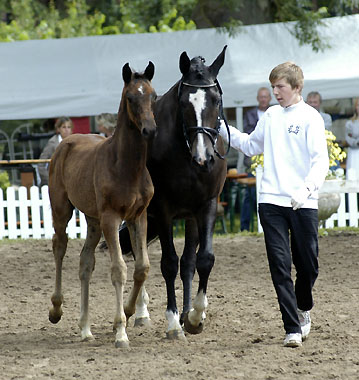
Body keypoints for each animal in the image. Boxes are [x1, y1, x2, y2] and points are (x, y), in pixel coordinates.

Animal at [48, 61, 158, 348]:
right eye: (130, 97)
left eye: (153, 95)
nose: (150, 130)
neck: (127, 166)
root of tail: (66, 142)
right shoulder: (111, 217)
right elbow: (119, 269)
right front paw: (120, 332)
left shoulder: (138, 216)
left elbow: (141, 267)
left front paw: (129, 313)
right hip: (62, 210)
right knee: (59, 247)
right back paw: (56, 309)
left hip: (93, 220)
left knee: (85, 262)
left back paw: (85, 328)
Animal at [120, 46, 228, 340]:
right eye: (184, 103)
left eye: (216, 100)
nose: (204, 158)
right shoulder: (163, 211)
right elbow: (168, 263)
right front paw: (172, 323)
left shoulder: (205, 207)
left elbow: (201, 260)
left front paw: (194, 316)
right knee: (138, 255)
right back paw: (142, 312)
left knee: (187, 262)